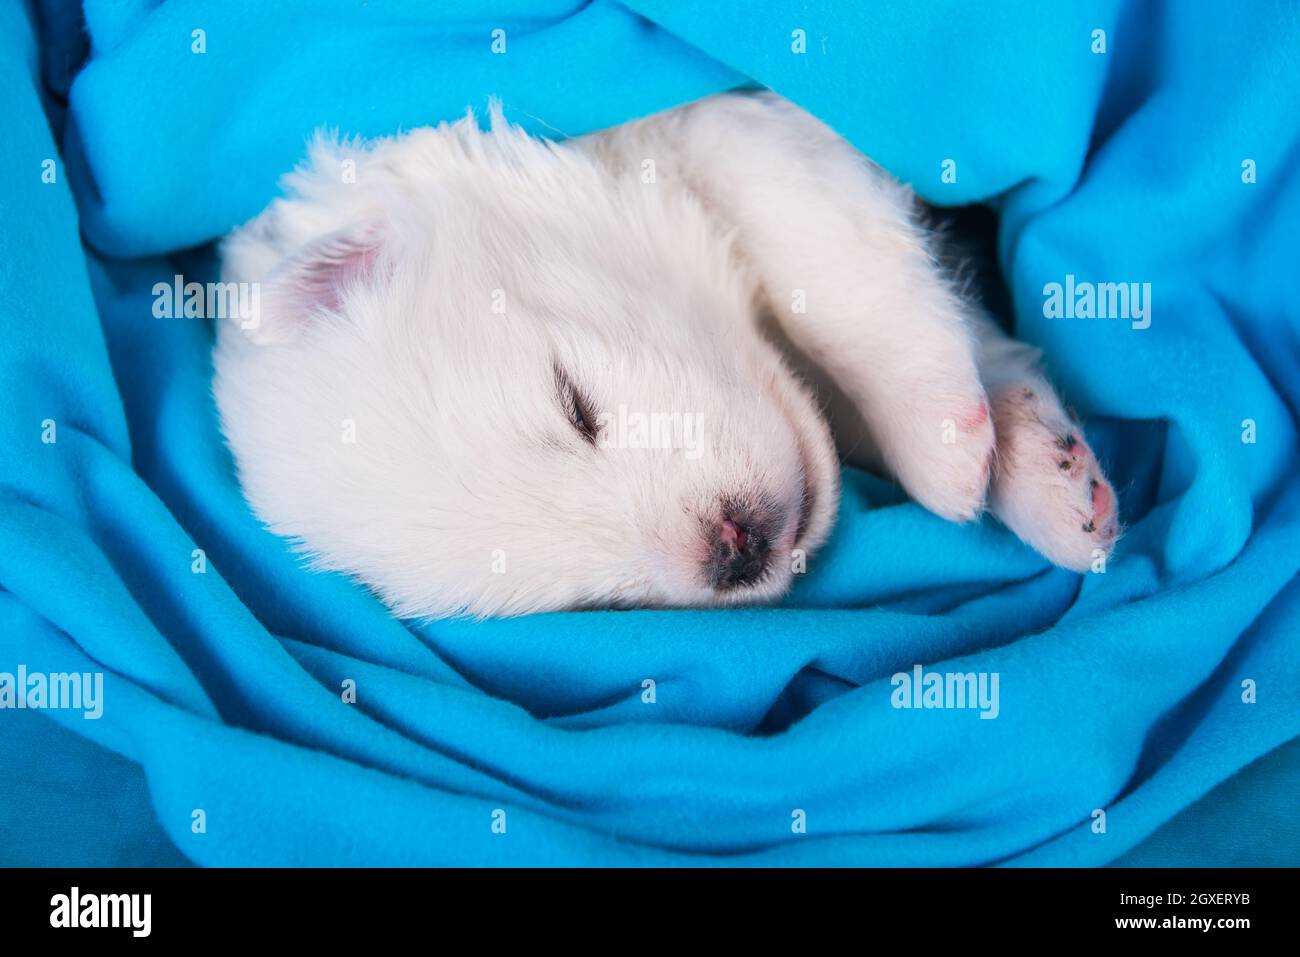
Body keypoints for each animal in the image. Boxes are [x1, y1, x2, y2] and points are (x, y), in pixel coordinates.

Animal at [213, 91, 1118, 621]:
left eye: (573, 403)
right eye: (582, 596)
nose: (733, 548)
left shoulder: (720, 117)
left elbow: (811, 234)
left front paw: (943, 438)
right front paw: (1046, 470)